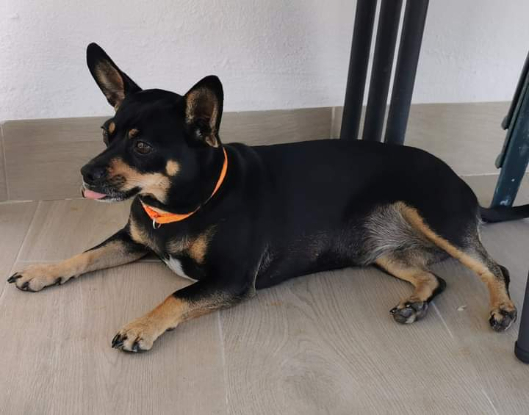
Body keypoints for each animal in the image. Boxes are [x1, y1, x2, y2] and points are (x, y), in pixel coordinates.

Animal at [8, 43, 528, 353]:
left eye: (141, 147)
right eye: (106, 133)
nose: (85, 172)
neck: (183, 206)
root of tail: (461, 182)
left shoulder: (232, 279)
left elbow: (176, 294)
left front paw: (141, 326)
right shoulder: (133, 239)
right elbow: (84, 255)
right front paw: (42, 271)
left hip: (435, 219)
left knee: (495, 268)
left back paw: (502, 308)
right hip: (384, 253)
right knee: (433, 279)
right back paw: (415, 303)